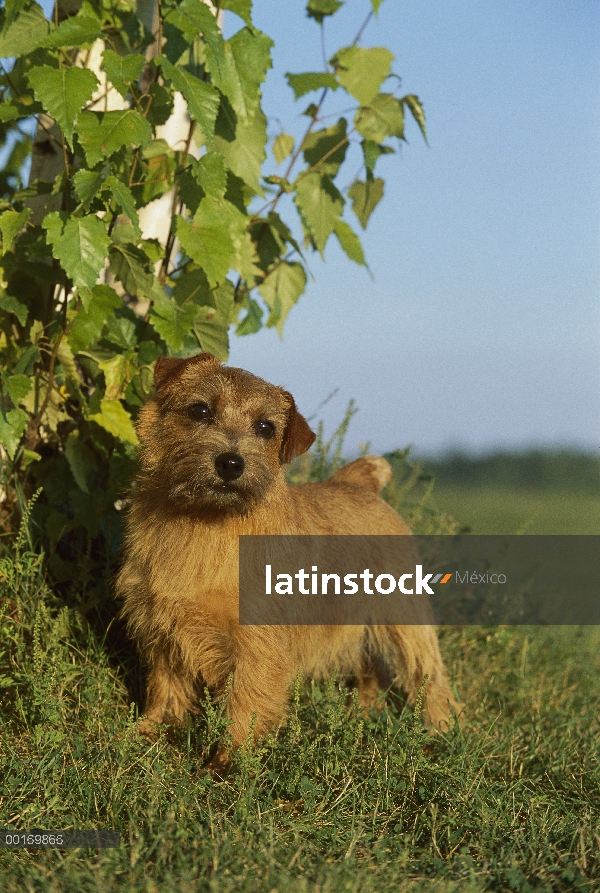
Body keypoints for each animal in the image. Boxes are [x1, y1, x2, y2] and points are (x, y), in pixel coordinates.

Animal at [118, 350, 460, 768]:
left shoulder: (257, 647)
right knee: (371, 672)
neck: (204, 523)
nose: (230, 463)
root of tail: (359, 484)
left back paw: (438, 734)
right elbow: (165, 688)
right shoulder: (164, 628)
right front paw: (149, 734)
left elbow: (246, 703)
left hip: (405, 620)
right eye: (200, 410)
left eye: (266, 427)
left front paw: (228, 762)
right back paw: (362, 718)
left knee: (430, 678)